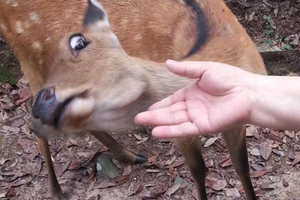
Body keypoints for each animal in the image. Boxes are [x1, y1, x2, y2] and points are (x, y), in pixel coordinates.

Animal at [0, 0, 268, 200]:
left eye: (79, 43)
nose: (44, 103)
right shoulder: (178, 127)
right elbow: (199, 170)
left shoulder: (236, 122)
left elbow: (242, 167)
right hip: (31, 61)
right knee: (33, 127)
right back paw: (56, 191)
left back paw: (130, 156)